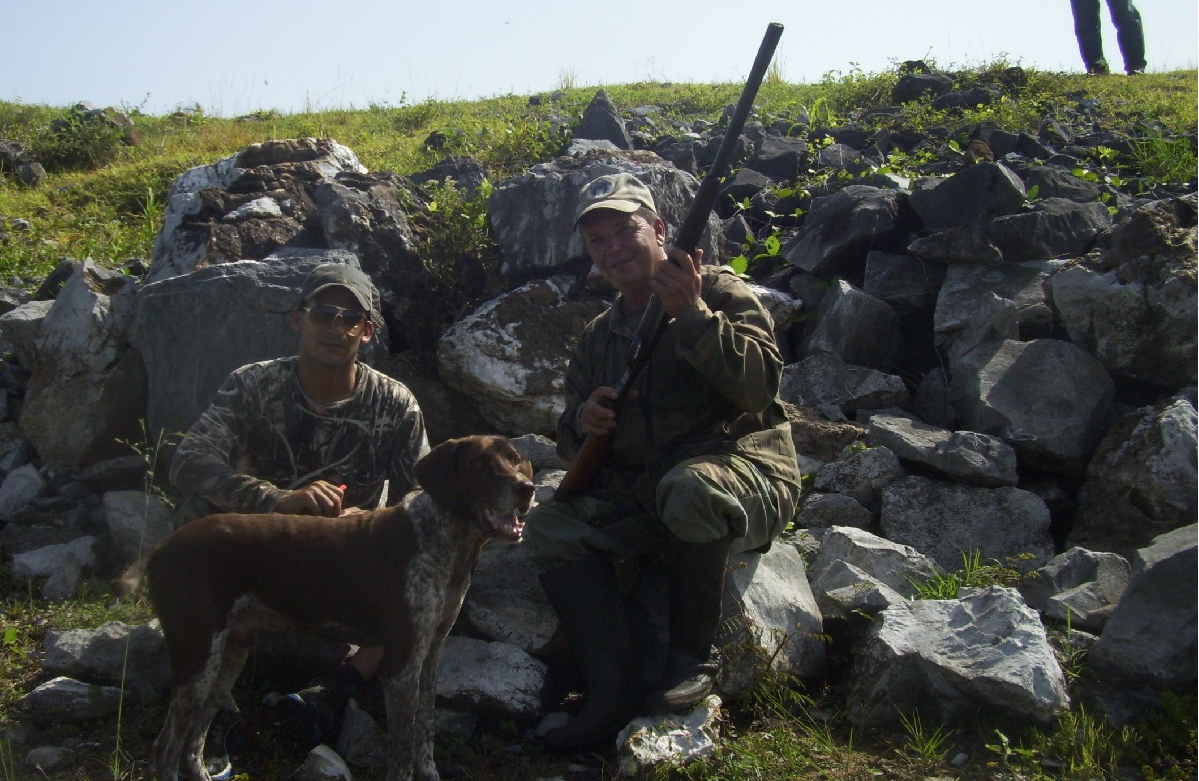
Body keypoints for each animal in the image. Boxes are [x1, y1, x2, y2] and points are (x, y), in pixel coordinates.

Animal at [128, 436, 532, 781]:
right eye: (479, 464)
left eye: (515, 461)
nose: (526, 488)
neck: (445, 544)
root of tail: (161, 548)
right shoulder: (401, 666)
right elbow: (402, 751)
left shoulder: (430, 655)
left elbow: (424, 733)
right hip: (198, 656)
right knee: (166, 749)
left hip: (228, 656)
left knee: (193, 740)